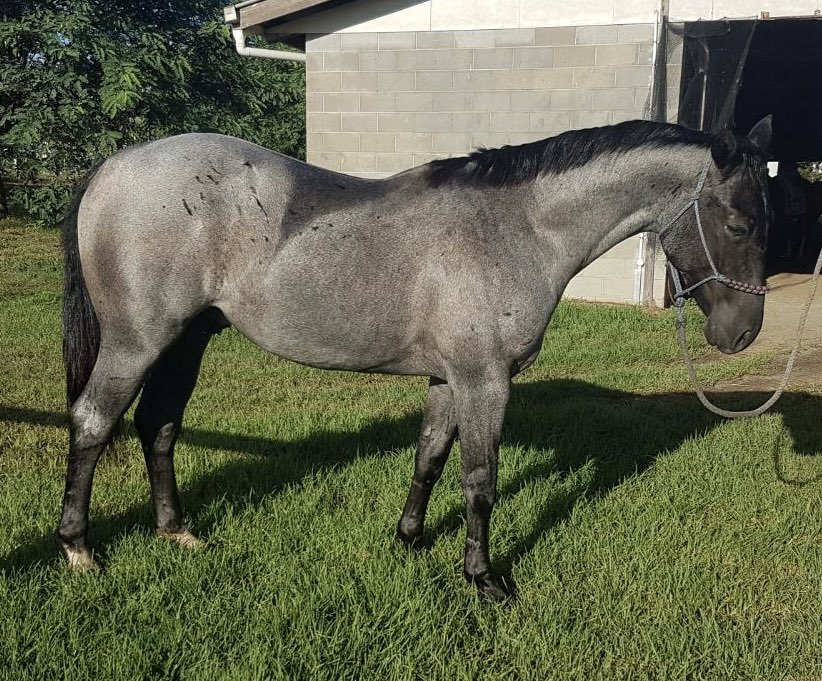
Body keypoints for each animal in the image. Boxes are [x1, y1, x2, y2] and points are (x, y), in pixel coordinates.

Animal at [59, 116, 773, 601]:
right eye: (739, 225)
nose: (743, 334)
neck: (515, 226)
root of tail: (113, 167)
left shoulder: (447, 377)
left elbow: (429, 457)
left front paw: (408, 540)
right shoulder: (486, 381)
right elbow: (480, 481)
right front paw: (484, 580)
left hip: (187, 340)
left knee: (159, 425)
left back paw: (174, 531)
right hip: (137, 341)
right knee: (93, 423)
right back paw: (78, 550)